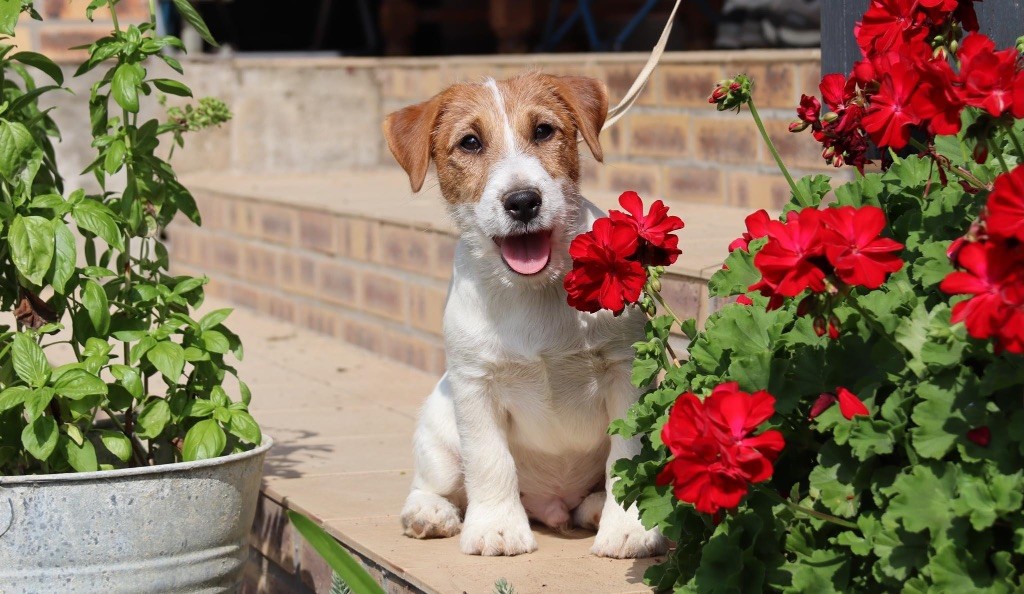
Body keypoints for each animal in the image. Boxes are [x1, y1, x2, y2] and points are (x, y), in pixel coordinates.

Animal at [380, 71, 667, 561]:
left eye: (544, 131)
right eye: (470, 142)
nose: (522, 201)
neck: (532, 290)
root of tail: (552, 504)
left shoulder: (625, 370)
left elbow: (627, 453)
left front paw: (628, 527)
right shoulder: (475, 384)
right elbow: (489, 460)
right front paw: (497, 528)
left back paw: (595, 508)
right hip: (439, 431)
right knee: (432, 483)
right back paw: (429, 514)